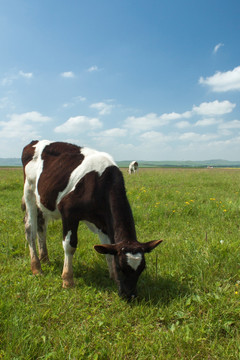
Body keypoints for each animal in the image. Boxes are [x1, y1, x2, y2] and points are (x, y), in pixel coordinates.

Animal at [21, 140, 163, 298]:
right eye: (120, 267)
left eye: (142, 268)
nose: (130, 296)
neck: (100, 182)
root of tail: (33, 142)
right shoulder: (68, 211)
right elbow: (70, 245)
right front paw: (68, 280)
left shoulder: (104, 223)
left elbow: (107, 248)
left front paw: (112, 277)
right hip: (29, 192)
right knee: (30, 229)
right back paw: (36, 267)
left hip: (42, 200)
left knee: (41, 227)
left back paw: (45, 259)